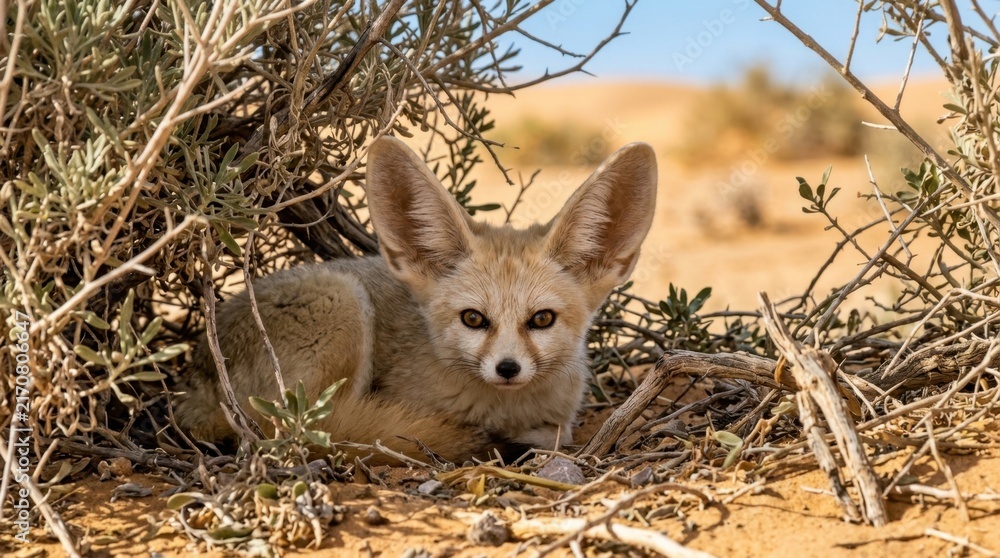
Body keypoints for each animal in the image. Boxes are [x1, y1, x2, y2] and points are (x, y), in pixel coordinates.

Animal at [174, 137, 657, 463]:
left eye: (541, 319)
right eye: (473, 319)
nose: (507, 369)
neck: (502, 414)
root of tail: (194, 382)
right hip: (343, 308)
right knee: (306, 431)